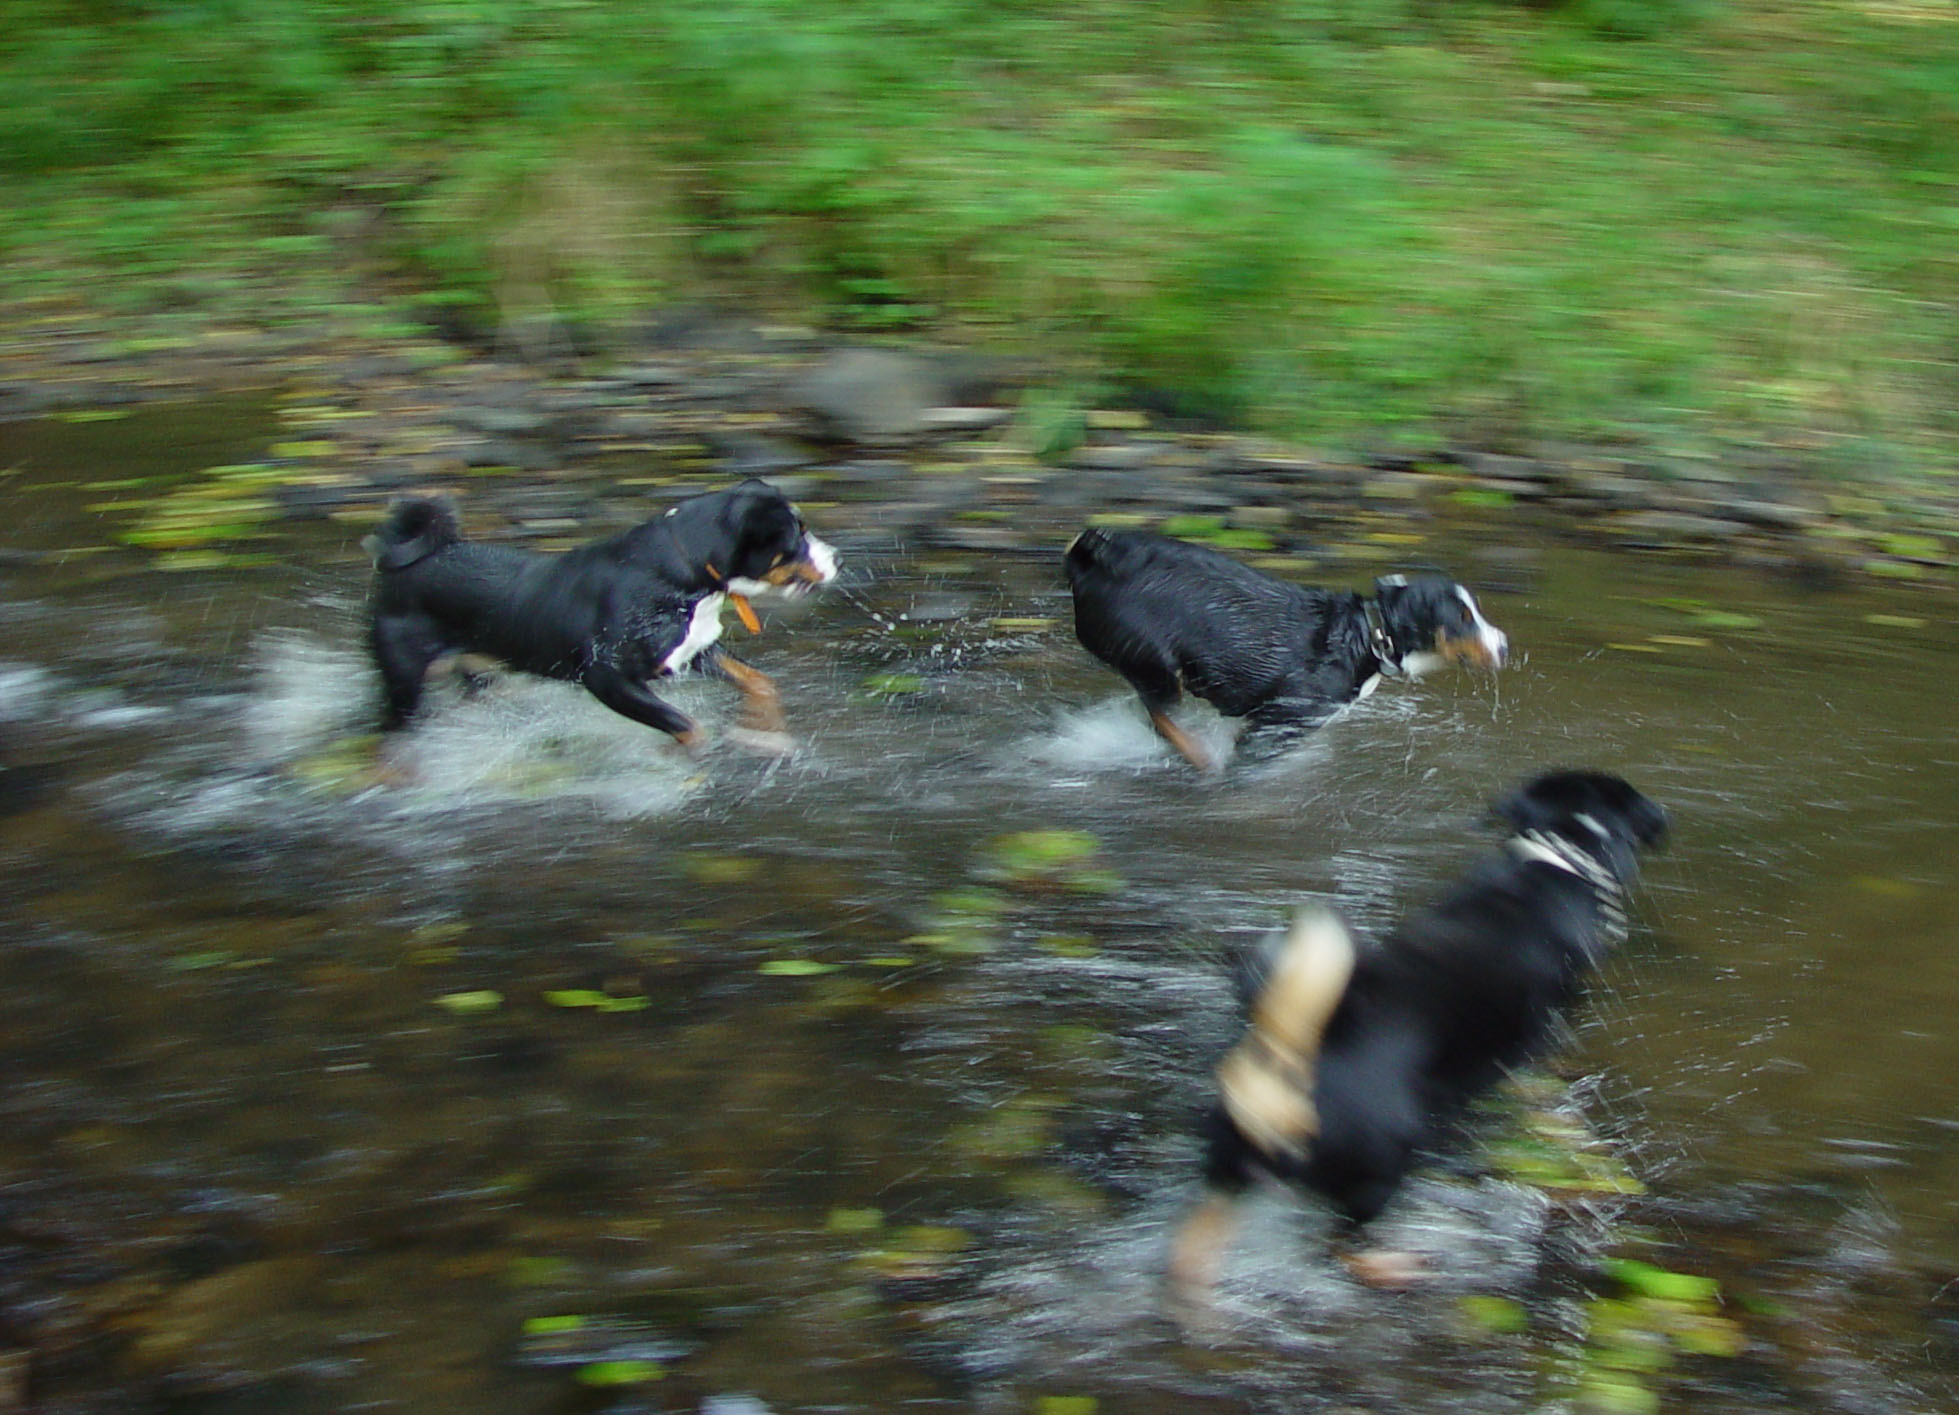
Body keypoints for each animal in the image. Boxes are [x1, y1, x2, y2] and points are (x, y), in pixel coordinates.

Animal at [366, 479, 838, 751]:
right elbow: (686, 724)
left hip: (478, 674)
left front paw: (765, 731)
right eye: (796, 536)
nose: (838, 558)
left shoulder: (694, 650)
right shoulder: (606, 678)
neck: (678, 570)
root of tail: (408, 564)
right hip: (404, 681)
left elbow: (759, 683)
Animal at [1064, 528, 1508, 771]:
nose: (1504, 646)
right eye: (1462, 619)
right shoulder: (1277, 722)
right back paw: (1200, 756)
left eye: (1476, 611)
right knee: (1161, 717)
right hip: (1153, 662)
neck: (1367, 636)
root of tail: (1096, 553)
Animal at [1168, 770, 1668, 1294]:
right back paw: (1395, 1264)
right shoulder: (1534, 1036)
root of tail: (1292, 1070)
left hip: (1229, 1164)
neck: (1555, 858)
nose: (1663, 815)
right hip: (1379, 1170)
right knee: (1341, 1245)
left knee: (1203, 1230)